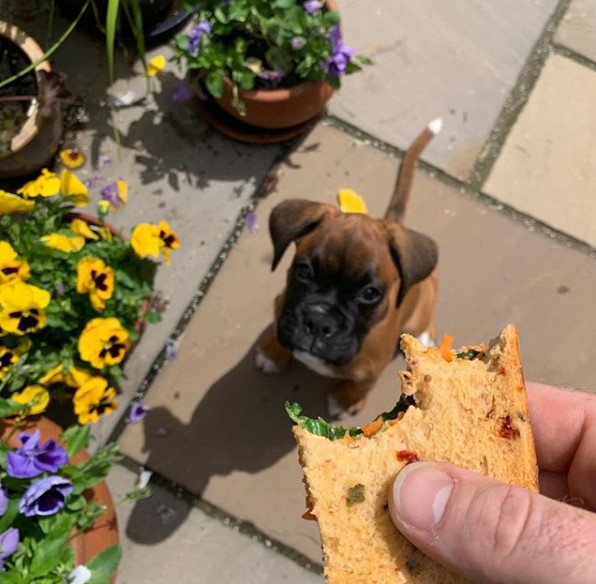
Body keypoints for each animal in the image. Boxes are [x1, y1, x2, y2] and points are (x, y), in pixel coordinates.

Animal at [256, 121, 442, 418]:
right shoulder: (281, 307)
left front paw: (346, 401)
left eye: (370, 293)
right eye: (304, 271)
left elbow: (363, 385)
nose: (319, 322)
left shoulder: (372, 370)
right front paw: (273, 352)